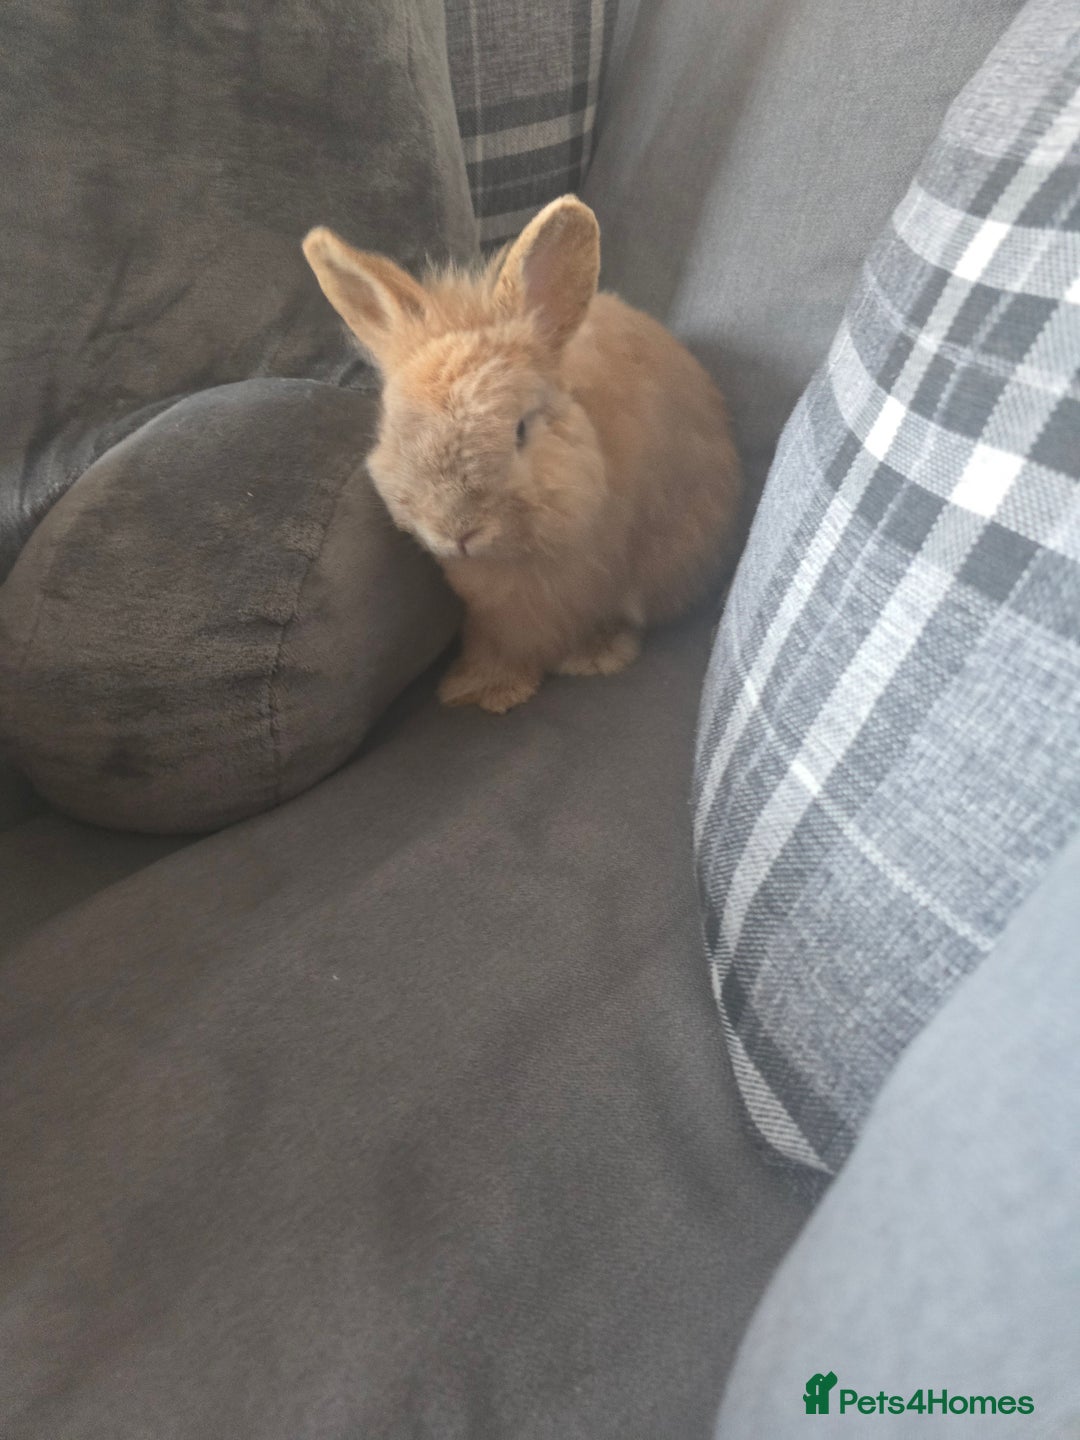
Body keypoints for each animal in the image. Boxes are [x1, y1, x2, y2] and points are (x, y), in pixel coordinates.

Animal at [302, 195, 743, 714]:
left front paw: (572, 665)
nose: (458, 533)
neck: (511, 559)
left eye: (520, 430)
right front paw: (477, 689)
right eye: (395, 430)